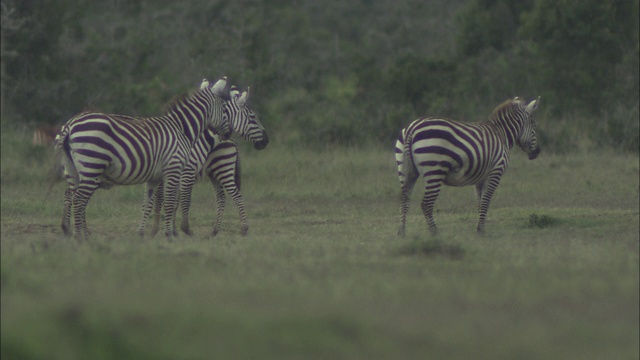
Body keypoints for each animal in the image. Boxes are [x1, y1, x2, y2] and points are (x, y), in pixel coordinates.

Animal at [55, 76, 230, 240]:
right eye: (223, 108)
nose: (228, 133)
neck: (181, 129)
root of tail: (70, 124)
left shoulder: (155, 177)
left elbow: (148, 204)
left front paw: (142, 234)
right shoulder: (173, 169)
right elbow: (169, 202)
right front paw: (170, 235)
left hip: (73, 169)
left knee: (72, 196)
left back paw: (73, 233)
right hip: (92, 164)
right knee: (79, 200)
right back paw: (80, 238)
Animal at [144, 80, 268, 238]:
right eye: (253, 117)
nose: (266, 141)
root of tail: (233, 143)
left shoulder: (184, 173)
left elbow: (178, 200)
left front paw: (176, 229)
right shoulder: (180, 173)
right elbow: (171, 200)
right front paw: (167, 230)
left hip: (223, 169)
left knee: (232, 196)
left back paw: (240, 229)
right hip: (215, 173)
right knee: (223, 197)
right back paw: (217, 231)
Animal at [396, 96, 540, 236]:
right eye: (534, 125)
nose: (537, 152)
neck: (502, 134)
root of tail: (411, 129)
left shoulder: (480, 177)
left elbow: (480, 202)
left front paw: (480, 227)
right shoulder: (496, 171)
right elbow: (486, 201)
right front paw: (481, 231)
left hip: (405, 170)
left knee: (404, 199)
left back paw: (402, 232)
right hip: (435, 170)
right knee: (426, 204)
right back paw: (435, 233)